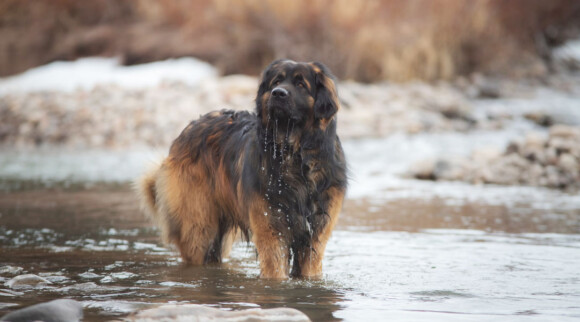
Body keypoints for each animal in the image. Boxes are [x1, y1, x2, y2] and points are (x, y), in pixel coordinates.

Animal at [138, 61, 346, 280]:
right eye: (276, 82)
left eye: (300, 84)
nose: (278, 93)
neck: (293, 157)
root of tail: (186, 131)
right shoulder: (271, 230)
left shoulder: (315, 235)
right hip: (198, 226)